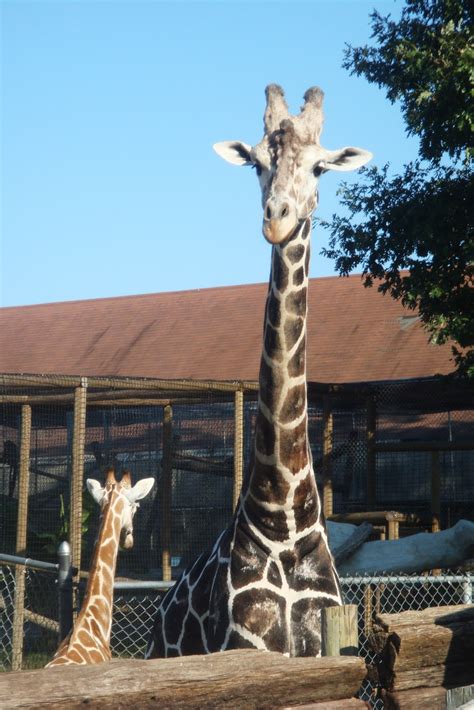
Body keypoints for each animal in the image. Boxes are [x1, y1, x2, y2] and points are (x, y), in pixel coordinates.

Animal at [146, 85, 372, 660]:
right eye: (256, 164)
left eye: (320, 167)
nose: (277, 219)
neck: (284, 517)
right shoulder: (247, 649)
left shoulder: (326, 650)